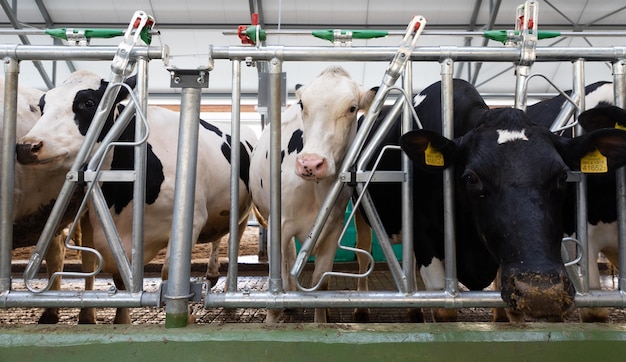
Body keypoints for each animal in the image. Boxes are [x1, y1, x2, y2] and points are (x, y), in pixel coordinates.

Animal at [17, 69, 256, 324]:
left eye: (88, 102)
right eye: (42, 106)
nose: (26, 147)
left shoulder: (191, 221)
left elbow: (169, 272)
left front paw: (186, 315)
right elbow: (121, 278)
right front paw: (123, 320)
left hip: (242, 213)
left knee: (233, 241)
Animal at [249, 65, 376, 322]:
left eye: (352, 108)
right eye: (302, 104)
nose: (310, 163)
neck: (315, 190)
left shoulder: (333, 229)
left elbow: (321, 284)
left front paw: (320, 321)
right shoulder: (280, 225)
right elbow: (276, 281)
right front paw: (271, 319)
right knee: (288, 258)